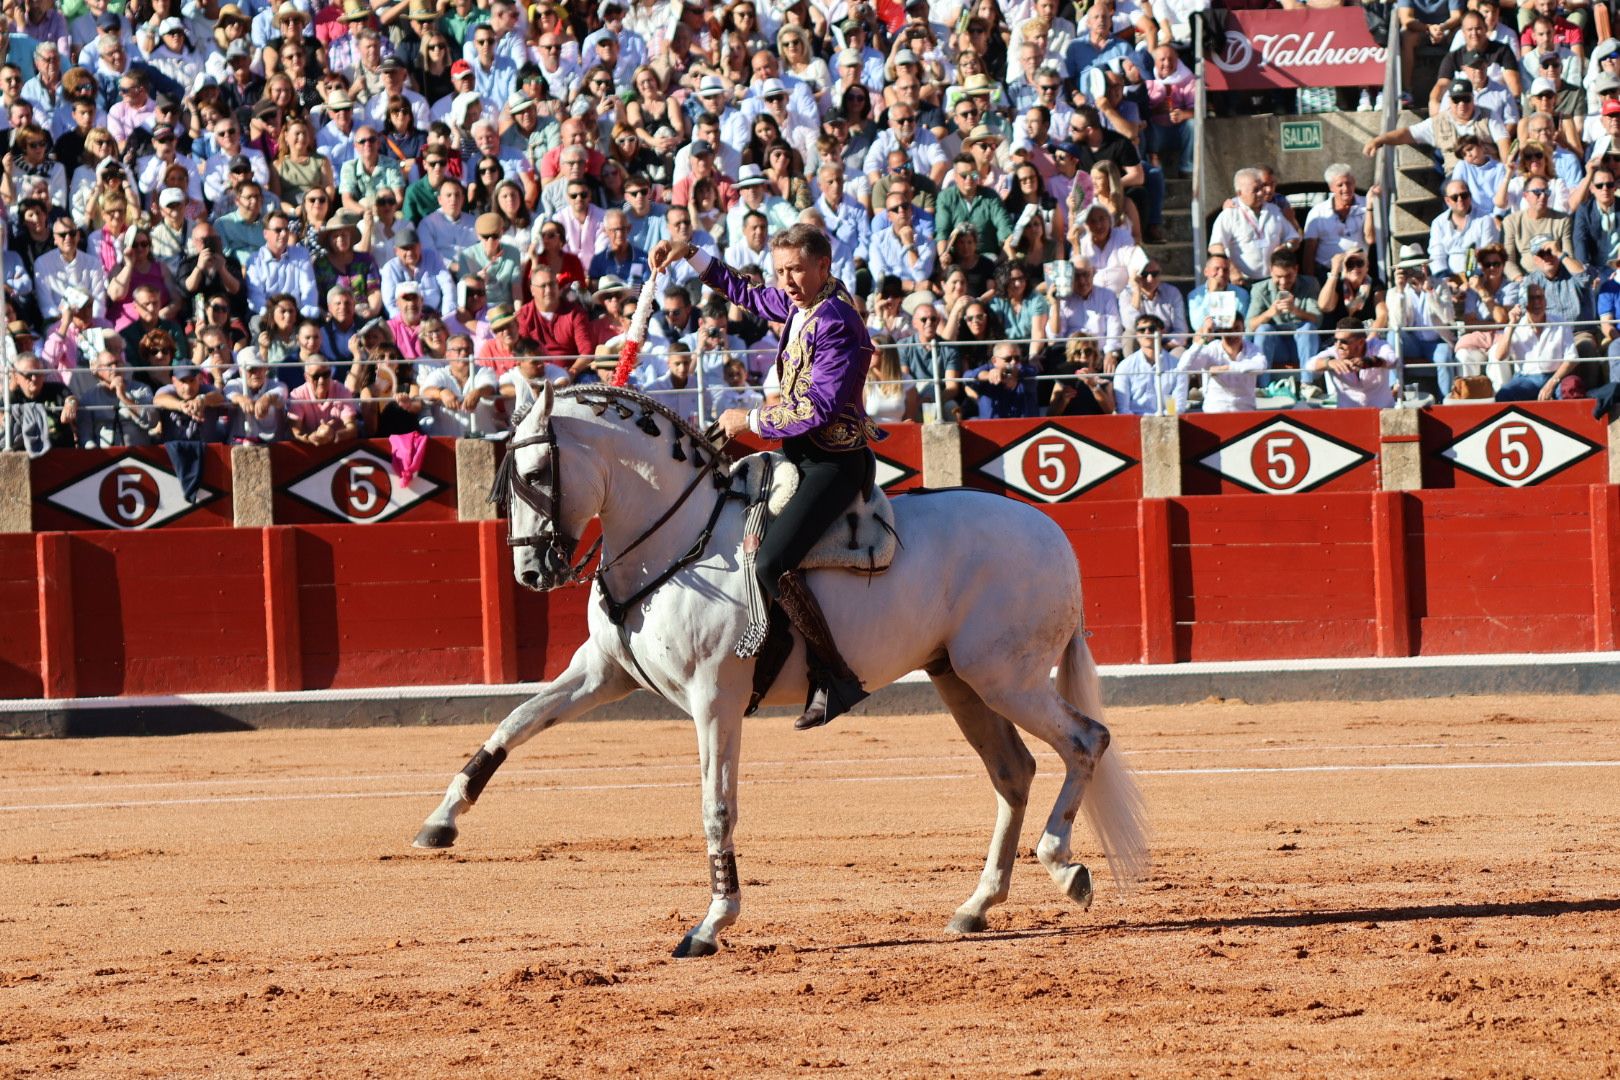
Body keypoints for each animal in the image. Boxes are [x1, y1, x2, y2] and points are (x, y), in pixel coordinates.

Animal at [417, 383, 1153, 958]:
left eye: (539, 473)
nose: (530, 571)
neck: (676, 538)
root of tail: (1051, 534)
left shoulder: (715, 695)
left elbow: (716, 806)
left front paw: (710, 925)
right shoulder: (604, 671)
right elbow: (513, 723)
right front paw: (443, 819)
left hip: (1007, 678)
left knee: (1086, 740)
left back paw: (1065, 868)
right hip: (960, 680)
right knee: (1014, 771)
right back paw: (977, 905)